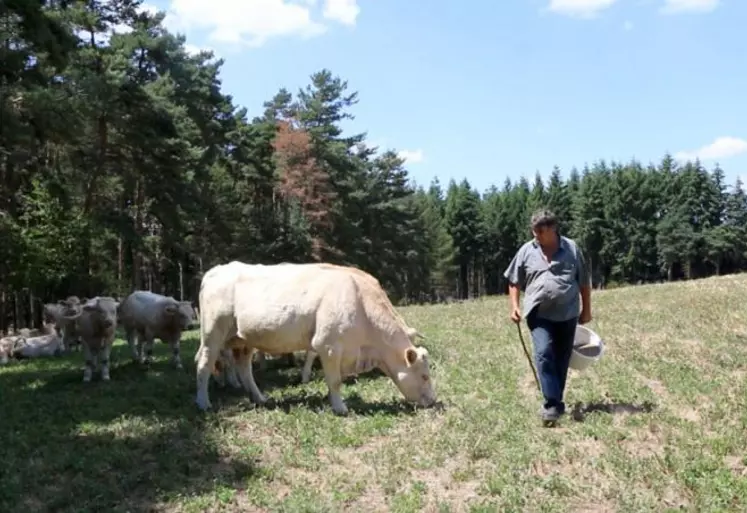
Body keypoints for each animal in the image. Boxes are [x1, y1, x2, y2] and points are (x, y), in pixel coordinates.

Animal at [194, 262, 438, 414]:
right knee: (204, 365)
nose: (434, 401)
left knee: (244, 368)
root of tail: (215, 271)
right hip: (213, 334)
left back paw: (259, 398)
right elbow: (335, 380)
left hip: (243, 340)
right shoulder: (328, 346)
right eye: (425, 376)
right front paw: (340, 408)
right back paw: (203, 403)